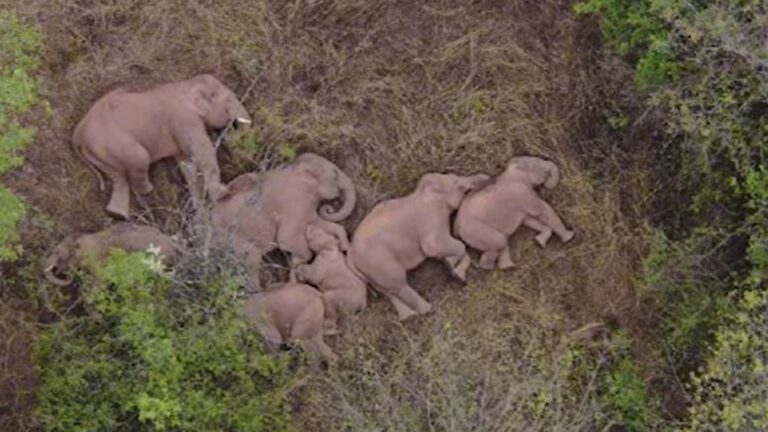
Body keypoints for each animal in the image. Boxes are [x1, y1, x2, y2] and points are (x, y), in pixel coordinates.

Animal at [73, 74, 252, 220]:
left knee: (118, 177)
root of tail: (78, 132)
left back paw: (117, 215)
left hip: (100, 153)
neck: (186, 85)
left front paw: (199, 211)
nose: (231, 127)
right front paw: (223, 194)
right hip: (114, 145)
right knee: (140, 159)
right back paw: (148, 192)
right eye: (229, 100)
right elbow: (201, 150)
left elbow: (187, 164)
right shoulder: (184, 120)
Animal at [212, 153, 356, 288]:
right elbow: (287, 241)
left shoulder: (307, 208)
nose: (329, 209)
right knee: (252, 258)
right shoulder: (293, 205)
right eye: (335, 174)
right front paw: (295, 265)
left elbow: (323, 224)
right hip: (231, 240)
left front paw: (345, 248)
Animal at [347, 173, 490, 321]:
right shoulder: (432, 218)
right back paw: (427, 310)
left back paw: (408, 316)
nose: (484, 176)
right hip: (380, 263)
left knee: (388, 290)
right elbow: (436, 247)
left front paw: (451, 266)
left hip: (371, 272)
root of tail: (350, 257)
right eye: (456, 181)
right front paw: (456, 273)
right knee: (399, 284)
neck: (422, 193)